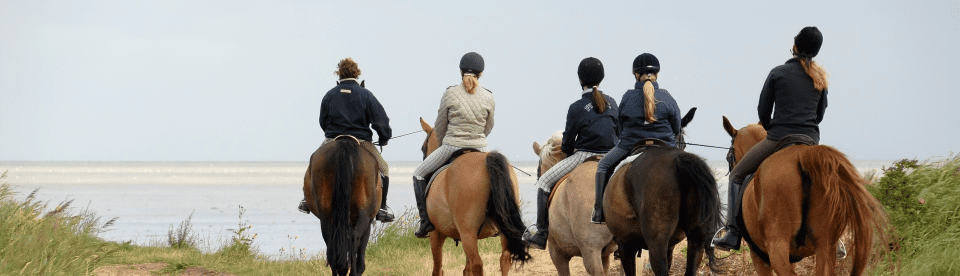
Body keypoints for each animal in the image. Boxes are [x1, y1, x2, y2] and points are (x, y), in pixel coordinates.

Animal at [302, 136, 380, 276]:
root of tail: (344, 144)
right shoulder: (368, 221)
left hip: (327, 215)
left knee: (331, 242)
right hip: (364, 214)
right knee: (354, 238)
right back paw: (352, 271)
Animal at [416, 118, 532, 276]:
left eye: (423, 148)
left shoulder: (436, 235)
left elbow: (438, 269)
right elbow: (466, 270)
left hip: (467, 235)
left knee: (477, 264)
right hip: (500, 231)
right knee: (504, 259)